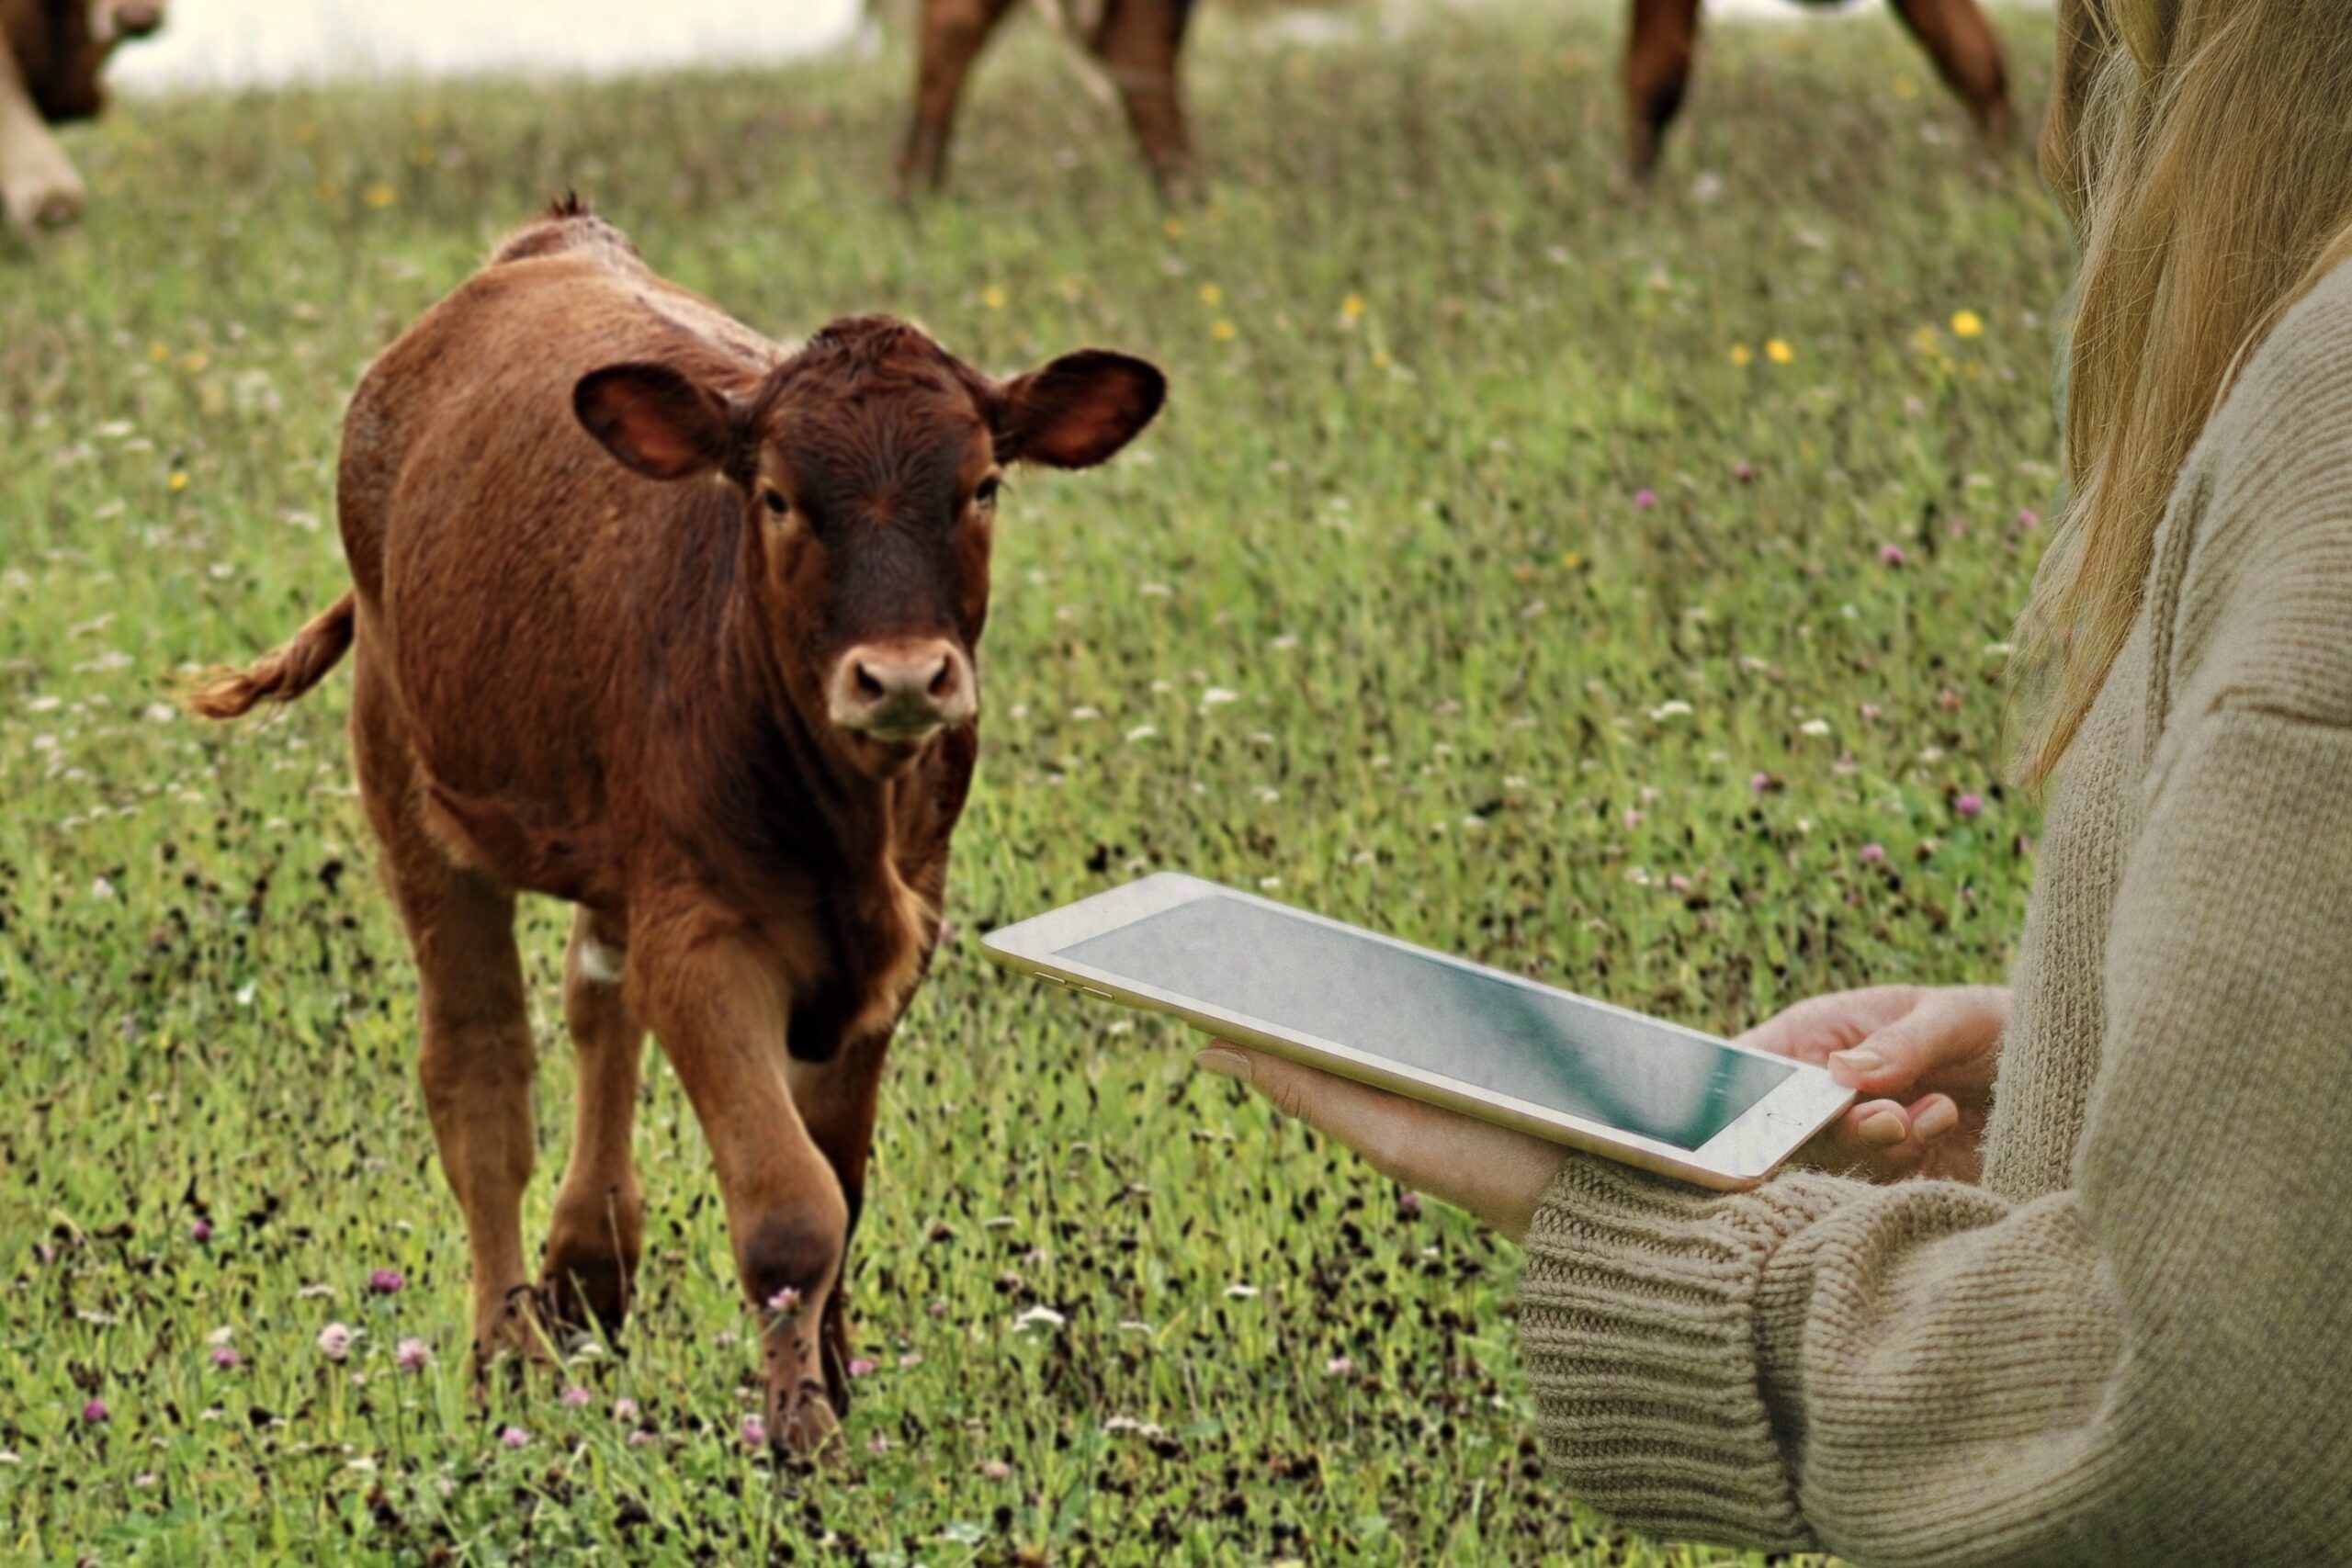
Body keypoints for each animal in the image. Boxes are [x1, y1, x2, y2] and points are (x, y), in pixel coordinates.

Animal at [192, 202, 1166, 1466]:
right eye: (779, 497)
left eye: (985, 486)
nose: (903, 677)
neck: (842, 816)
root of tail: (551, 241)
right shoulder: (705, 937)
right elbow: (792, 1206)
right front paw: (803, 1435)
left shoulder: (899, 931)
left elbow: (841, 1177)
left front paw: (834, 1377)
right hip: (408, 777)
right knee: (479, 1071)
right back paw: (509, 1351)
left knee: (596, 994)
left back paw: (588, 1267)